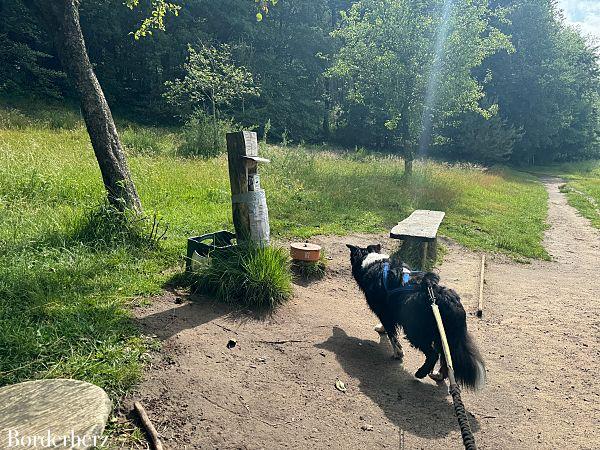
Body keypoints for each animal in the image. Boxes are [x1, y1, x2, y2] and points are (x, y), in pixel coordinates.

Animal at [344, 244, 486, 388]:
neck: (371, 261)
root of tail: (447, 300)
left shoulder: (384, 312)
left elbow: (392, 334)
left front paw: (398, 353)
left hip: (416, 332)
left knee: (433, 354)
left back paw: (421, 373)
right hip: (443, 336)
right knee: (446, 359)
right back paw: (438, 375)